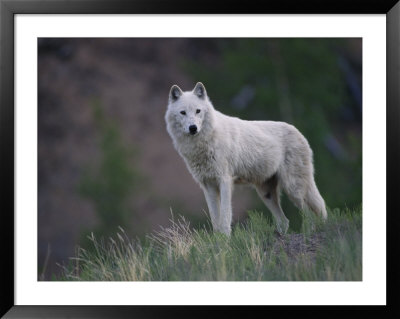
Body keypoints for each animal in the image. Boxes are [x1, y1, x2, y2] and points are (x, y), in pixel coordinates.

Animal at [164, 82, 326, 238]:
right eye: (183, 112)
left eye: (198, 111)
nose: (193, 128)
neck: (204, 142)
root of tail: (299, 132)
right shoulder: (208, 185)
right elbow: (215, 219)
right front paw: (218, 240)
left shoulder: (225, 181)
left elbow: (225, 216)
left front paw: (225, 239)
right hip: (266, 193)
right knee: (285, 221)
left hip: (293, 189)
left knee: (313, 212)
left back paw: (312, 233)